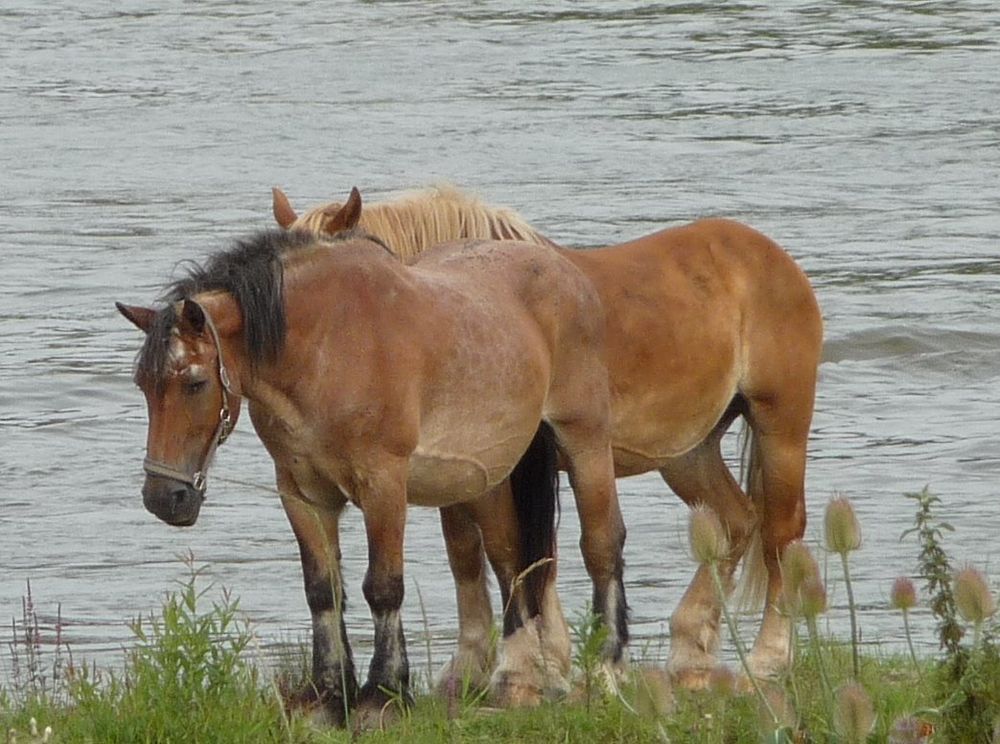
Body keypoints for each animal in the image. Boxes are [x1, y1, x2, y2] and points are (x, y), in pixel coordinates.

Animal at [115, 219, 624, 728]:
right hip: (491, 476)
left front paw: (382, 695)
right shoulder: (302, 494)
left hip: (586, 443)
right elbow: (323, 590)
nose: (163, 497)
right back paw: (516, 681)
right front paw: (327, 696)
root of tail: (567, 272)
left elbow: (383, 588)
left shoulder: (383, 484)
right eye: (143, 385)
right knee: (511, 560)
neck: (326, 346)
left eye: (195, 383)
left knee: (600, 544)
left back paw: (605, 673)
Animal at [272, 183, 820, 688]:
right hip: (689, 450)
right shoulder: (463, 468)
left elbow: (530, 553)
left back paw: (768, 657)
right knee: (735, 521)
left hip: (780, 424)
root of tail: (769, 256)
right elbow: (472, 554)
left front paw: (539, 663)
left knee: (779, 533)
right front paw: (479, 664)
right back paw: (691, 649)